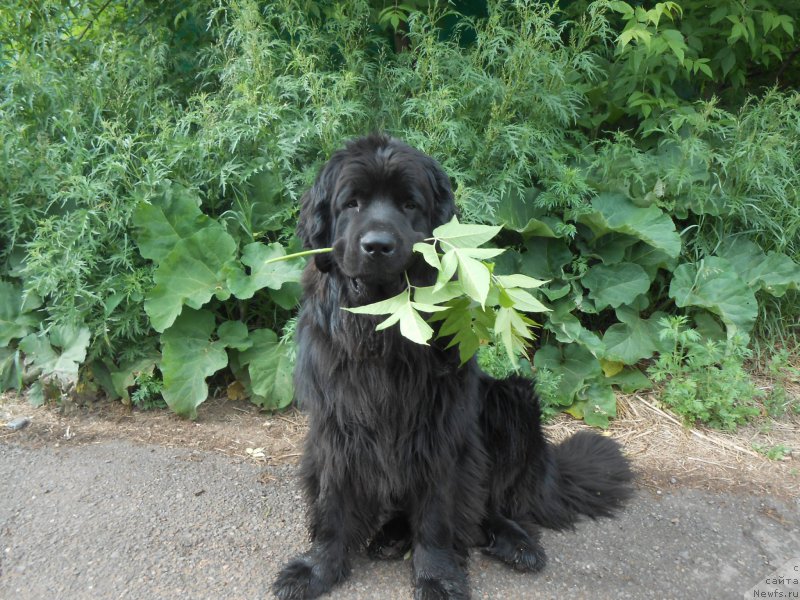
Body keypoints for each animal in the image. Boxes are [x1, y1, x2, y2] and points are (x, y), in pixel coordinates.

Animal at [272, 136, 636, 600]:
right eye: (351, 203)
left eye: (410, 204)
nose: (378, 245)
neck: (385, 323)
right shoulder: (336, 425)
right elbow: (332, 503)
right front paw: (318, 568)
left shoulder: (441, 430)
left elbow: (438, 515)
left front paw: (437, 576)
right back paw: (390, 537)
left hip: (512, 399)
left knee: (489, 504)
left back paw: (515, 542)